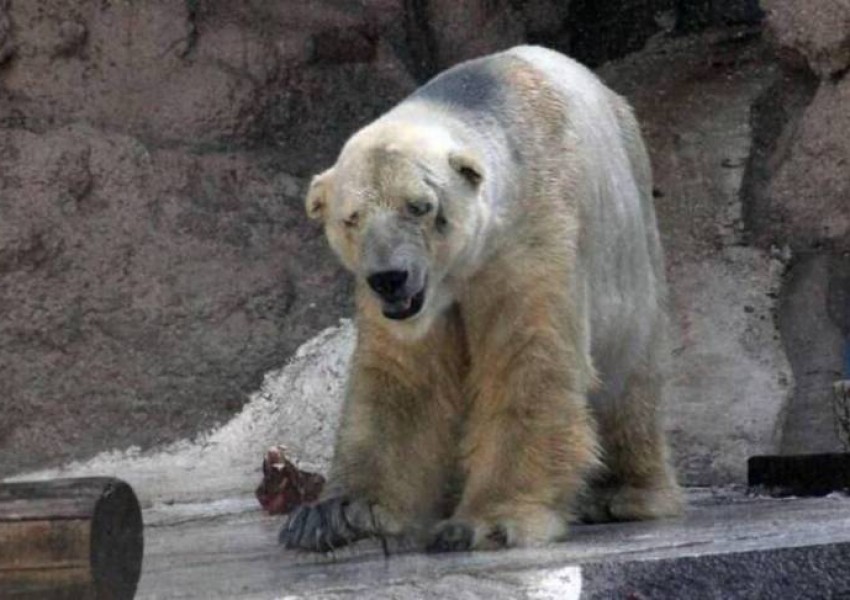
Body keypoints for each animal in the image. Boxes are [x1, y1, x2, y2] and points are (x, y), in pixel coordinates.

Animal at [282, 45, 680, 552]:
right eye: (351, 217)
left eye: (420, 206)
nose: (390, 278)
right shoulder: (408, 305)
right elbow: (404, 379)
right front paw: (335, 514)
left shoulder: (529, 241)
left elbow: (527, 361)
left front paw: (483, 521)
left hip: (631, 246)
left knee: (630, 378)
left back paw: (625, 494)